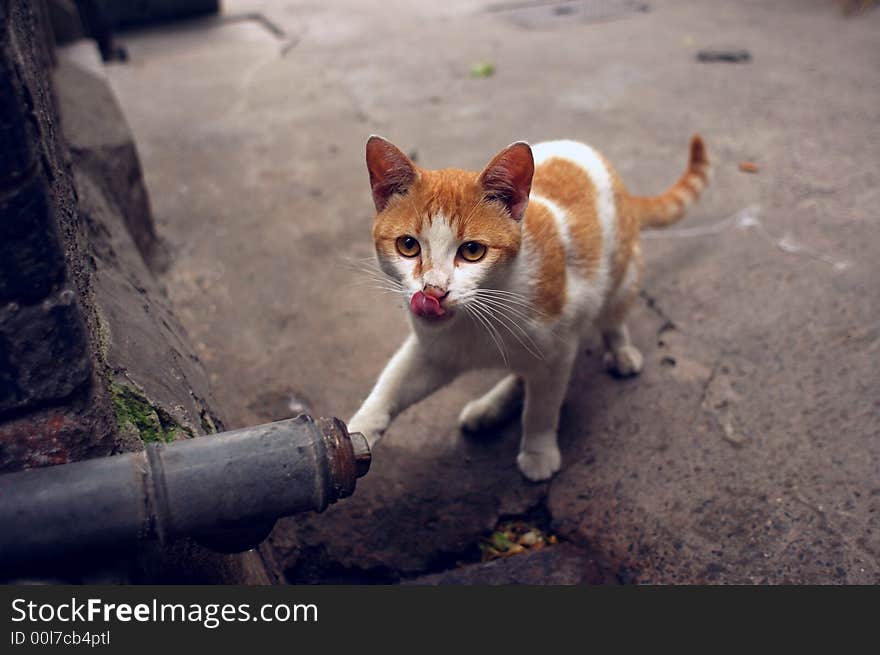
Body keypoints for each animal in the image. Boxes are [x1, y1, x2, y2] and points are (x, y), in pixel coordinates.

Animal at [346, 133, 708, 482]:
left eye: (472, 251)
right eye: (408, 245)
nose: (433, 291)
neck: (478, 316)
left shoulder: (558, 349)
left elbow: (542, 407)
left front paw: (538, 451)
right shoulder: (434, 351)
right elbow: (392, 384)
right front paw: (354, 433)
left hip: (622, 272)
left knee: (613, 314)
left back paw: (619, 350)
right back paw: (489, 407)